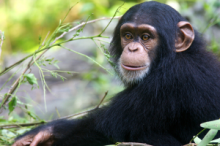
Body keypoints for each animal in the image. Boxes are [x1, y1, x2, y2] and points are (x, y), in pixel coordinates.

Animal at [12, 1, 220, 146]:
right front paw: (42, 133)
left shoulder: (166, 83)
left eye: (146, 37)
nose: (133, 48)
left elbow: (101, 128)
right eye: (128, 35)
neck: (173, 58)